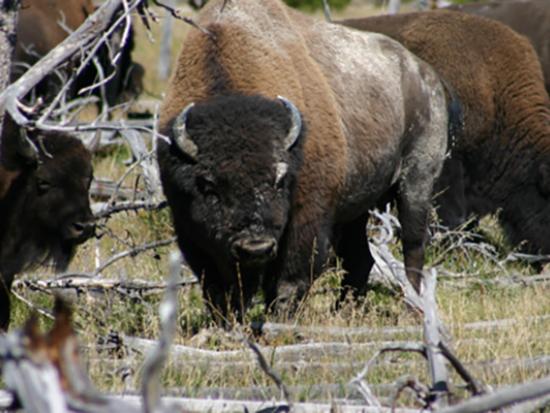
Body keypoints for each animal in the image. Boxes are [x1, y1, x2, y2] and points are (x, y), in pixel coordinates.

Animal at [156, 0, 462, 320]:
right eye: (208, 185)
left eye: (279, 179)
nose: (256, 248)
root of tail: (428, 75)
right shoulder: (189, 228)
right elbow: (219, 287)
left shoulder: (307, 218)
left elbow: (290, 280)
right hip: (356, 207)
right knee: (359, 258)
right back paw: (343, 311)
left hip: (416, 183)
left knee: (413, 248)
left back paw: (411, 310)